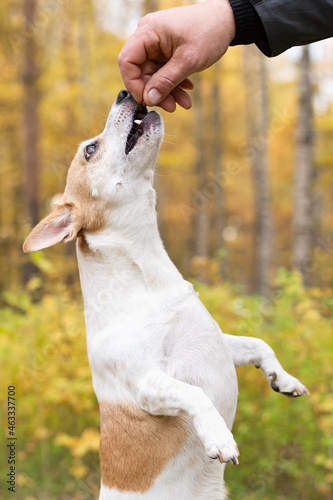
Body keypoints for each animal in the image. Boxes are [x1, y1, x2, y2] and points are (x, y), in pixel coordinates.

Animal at [23, 90, 308, 500]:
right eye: (90, 150)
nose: (125, 92)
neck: (148, 279)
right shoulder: (147, 383)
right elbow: (196, 395)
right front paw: (219, 436)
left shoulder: (219, 342)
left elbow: (259, 344)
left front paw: (282, 379)